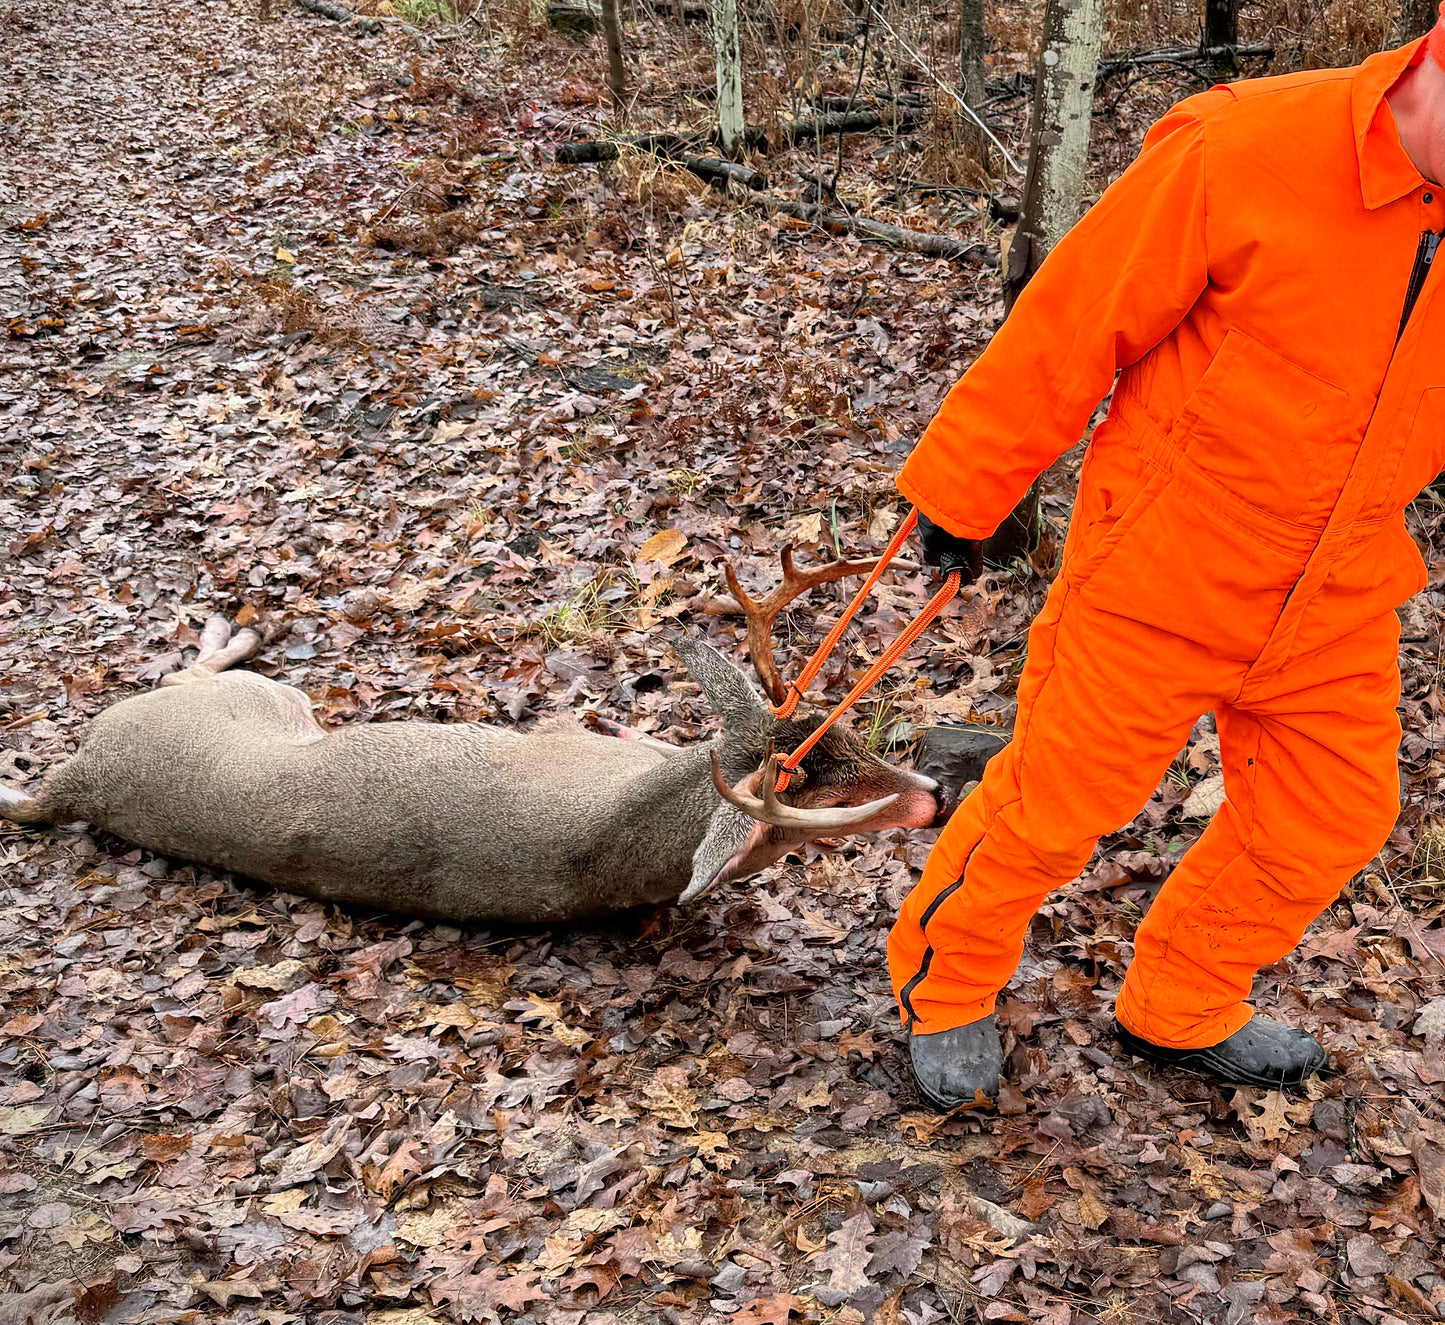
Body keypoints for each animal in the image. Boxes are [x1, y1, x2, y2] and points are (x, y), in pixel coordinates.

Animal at [0, 552, 946, 923]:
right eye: (829, 787)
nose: (935, 798)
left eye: (855, 741)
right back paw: (227, 626)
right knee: (186, 675)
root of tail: (77, 777)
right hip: (256, 700)